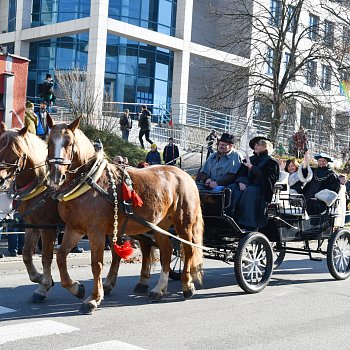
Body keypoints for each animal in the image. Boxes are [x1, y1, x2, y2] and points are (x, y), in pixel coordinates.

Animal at [0, 124, 60, 302]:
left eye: (17, 154)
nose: (0, 179)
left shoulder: (48, 227)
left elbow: (46, 256)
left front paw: (43, 286)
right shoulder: (31, 224)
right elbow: (26, 254)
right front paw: (40, 279)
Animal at [47, 115, 204, 314]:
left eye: (69, 142)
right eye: (49, 142)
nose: (56, 176)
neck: (90, 181)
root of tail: (185, 176)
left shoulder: (96, 231)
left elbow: (96, 264)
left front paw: (94, 298)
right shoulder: (74, 228)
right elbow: (60, 256)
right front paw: (76, 287)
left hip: (184, 224)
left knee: (188, 250)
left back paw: (187, 285)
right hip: (160, 226)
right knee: (167, 253)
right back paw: (159, 289)